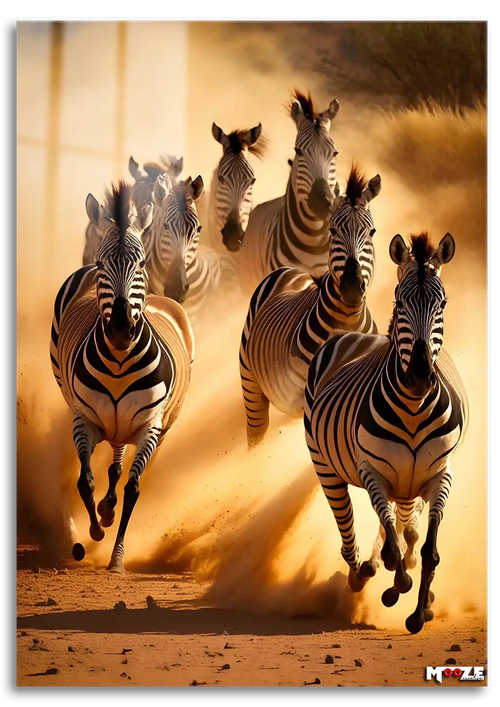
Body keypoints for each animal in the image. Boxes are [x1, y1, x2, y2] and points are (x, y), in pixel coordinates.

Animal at [51, 182, 194, 573]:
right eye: (103, 265)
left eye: (141, 263)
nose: (119, 330)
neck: (117, 364)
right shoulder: (83, 419)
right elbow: (85, 481)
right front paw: (94, 532)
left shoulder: (149, 426)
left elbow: (132, 488)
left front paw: (116, 558)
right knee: (111, 462)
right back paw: (103, 512)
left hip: (158, 425)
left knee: (119, 464)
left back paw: (109, 509)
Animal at [239, 165, 381, 447]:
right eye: (333, 231)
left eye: (371, 233)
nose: (351, 286)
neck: (348, 318)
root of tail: (292, 270)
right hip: (250, 382)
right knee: (257, 431)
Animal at [304, 232, 468, 634]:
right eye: (399, 301)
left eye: (441, 303)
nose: (421, 375)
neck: (413, 407)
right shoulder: (372, 472)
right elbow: (394, 549)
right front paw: (399, 586)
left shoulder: (440, 474)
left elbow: (427, 550)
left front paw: (420, 612)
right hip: (327, 469)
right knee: (349, 528)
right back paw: (360, 575)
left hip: (408, 482)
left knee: (406, 529)